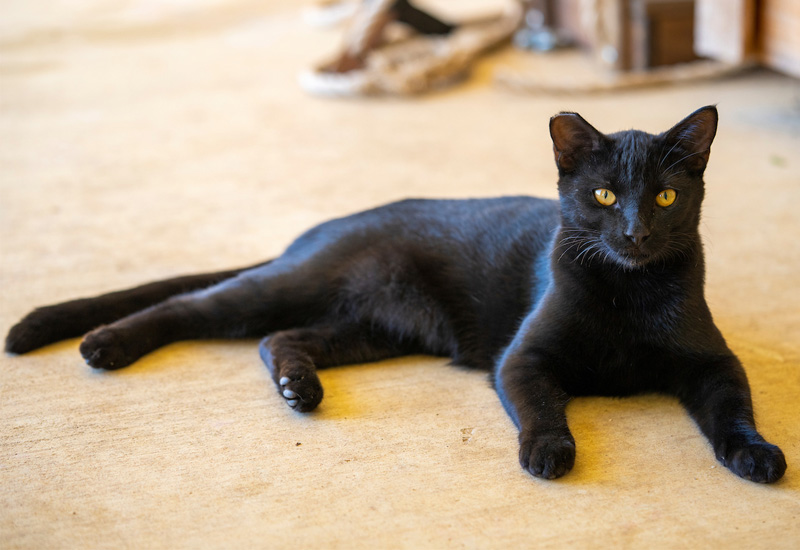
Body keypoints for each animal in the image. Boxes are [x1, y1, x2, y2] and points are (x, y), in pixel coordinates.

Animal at [3, 105, 784, 486]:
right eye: (602, 196)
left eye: (665, 196)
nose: (634, 232)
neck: (626, 291)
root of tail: (320, 230)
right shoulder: (522, 358)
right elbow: (542, 407)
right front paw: (547, 454)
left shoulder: (712, 362)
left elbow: (733, 408)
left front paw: (757, 456)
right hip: (295, 288)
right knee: (192, 309)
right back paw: (105, 345)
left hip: (379, 327)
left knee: (281, 339)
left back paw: (299, 391)